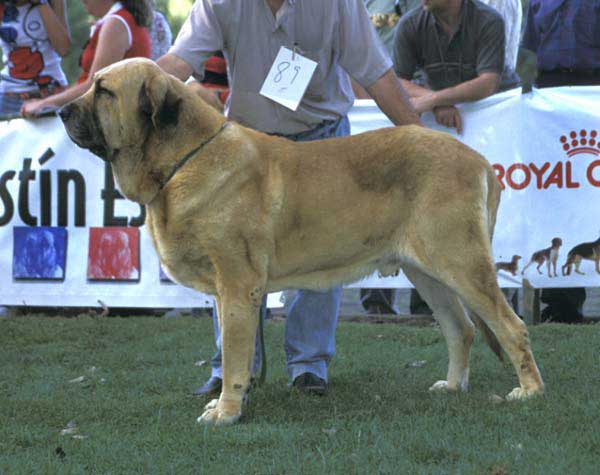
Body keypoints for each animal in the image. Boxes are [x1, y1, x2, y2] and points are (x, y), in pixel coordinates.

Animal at [59, 57, 544, 426]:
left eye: (104, 91)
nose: (62, 111)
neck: (184, 159)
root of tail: (479, 159)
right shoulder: (227, 291)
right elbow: (234, 351)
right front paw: (228, 402)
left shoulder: (238, 285)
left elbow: (234, 354)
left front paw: (226, 412)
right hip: (426, 272)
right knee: (461, 328)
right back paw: (454, 385)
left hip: (461, 262)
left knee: (511, 326)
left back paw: (530, 391)